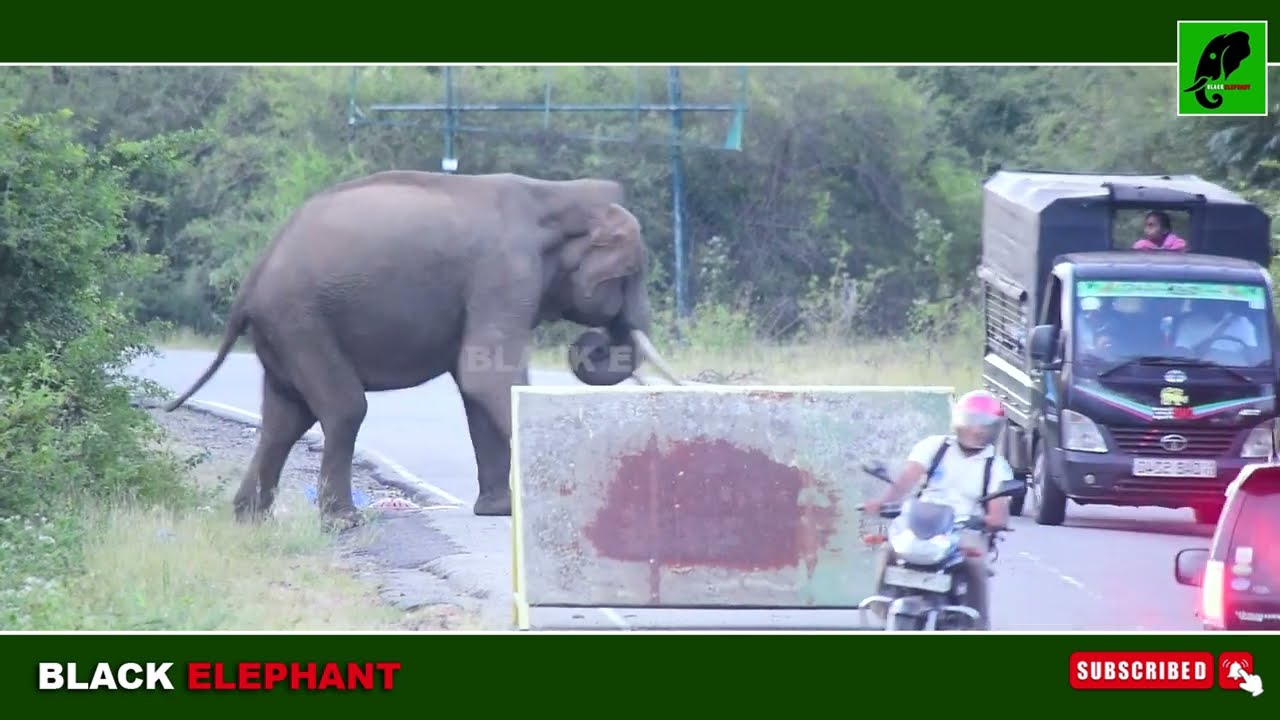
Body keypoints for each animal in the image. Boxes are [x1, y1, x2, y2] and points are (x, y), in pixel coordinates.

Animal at [163, 169, 683, 526]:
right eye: (629, 274)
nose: (594, 342)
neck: (558, 194)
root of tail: (251, 281)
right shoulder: (504, 271)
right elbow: (486, 375)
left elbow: (476, 386)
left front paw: (497, 512)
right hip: (301, 321)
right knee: (343, 409)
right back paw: (343, 520)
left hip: (283, 332)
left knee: (284, 420)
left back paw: (250, 518)